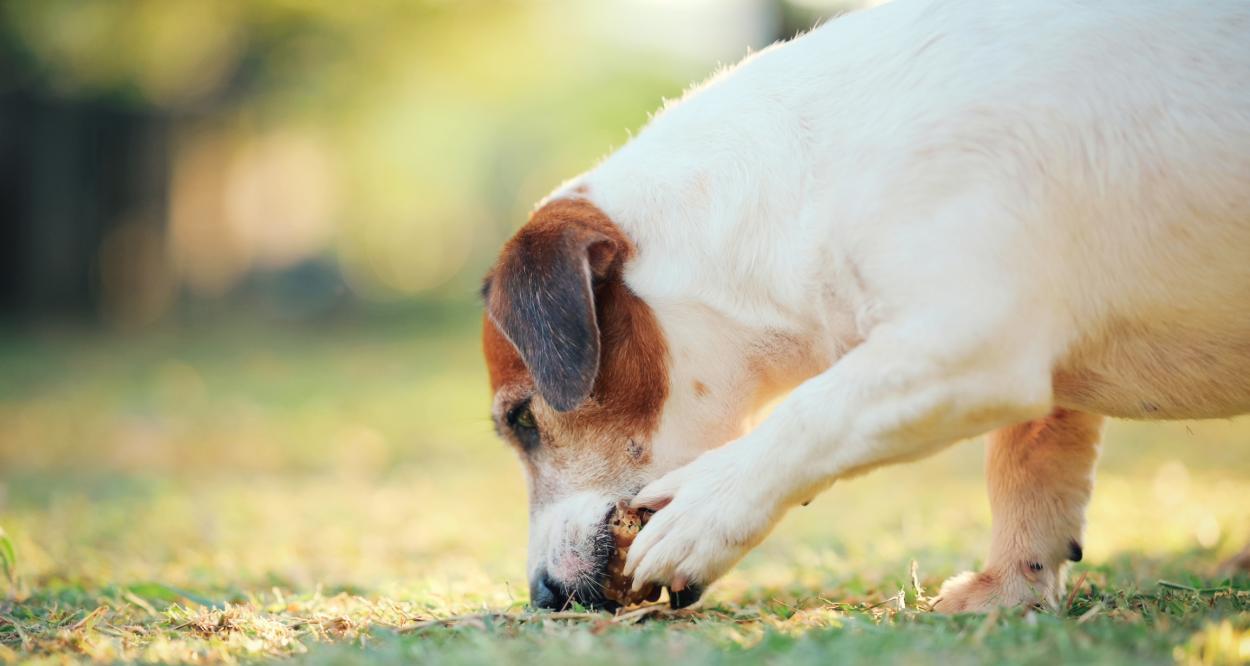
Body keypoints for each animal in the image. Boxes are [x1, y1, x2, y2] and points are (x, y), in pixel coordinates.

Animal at [481, 0, 1250, 613]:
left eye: (521, 421)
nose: (542, 595)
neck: (801, 187)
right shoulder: (1037, 374)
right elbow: (1029, 474)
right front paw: (1010, 590)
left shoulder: (970, 341)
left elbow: (814, 414)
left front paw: (707, 513)